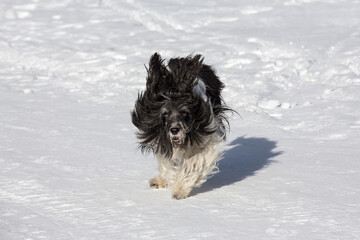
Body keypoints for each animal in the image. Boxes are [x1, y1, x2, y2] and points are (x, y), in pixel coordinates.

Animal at [131, 53, 231, 200]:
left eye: (184, 113)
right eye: (165, 114)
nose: (174, 130)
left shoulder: (206, 138)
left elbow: (194, 164)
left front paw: (180, 189)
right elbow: (166, 160)